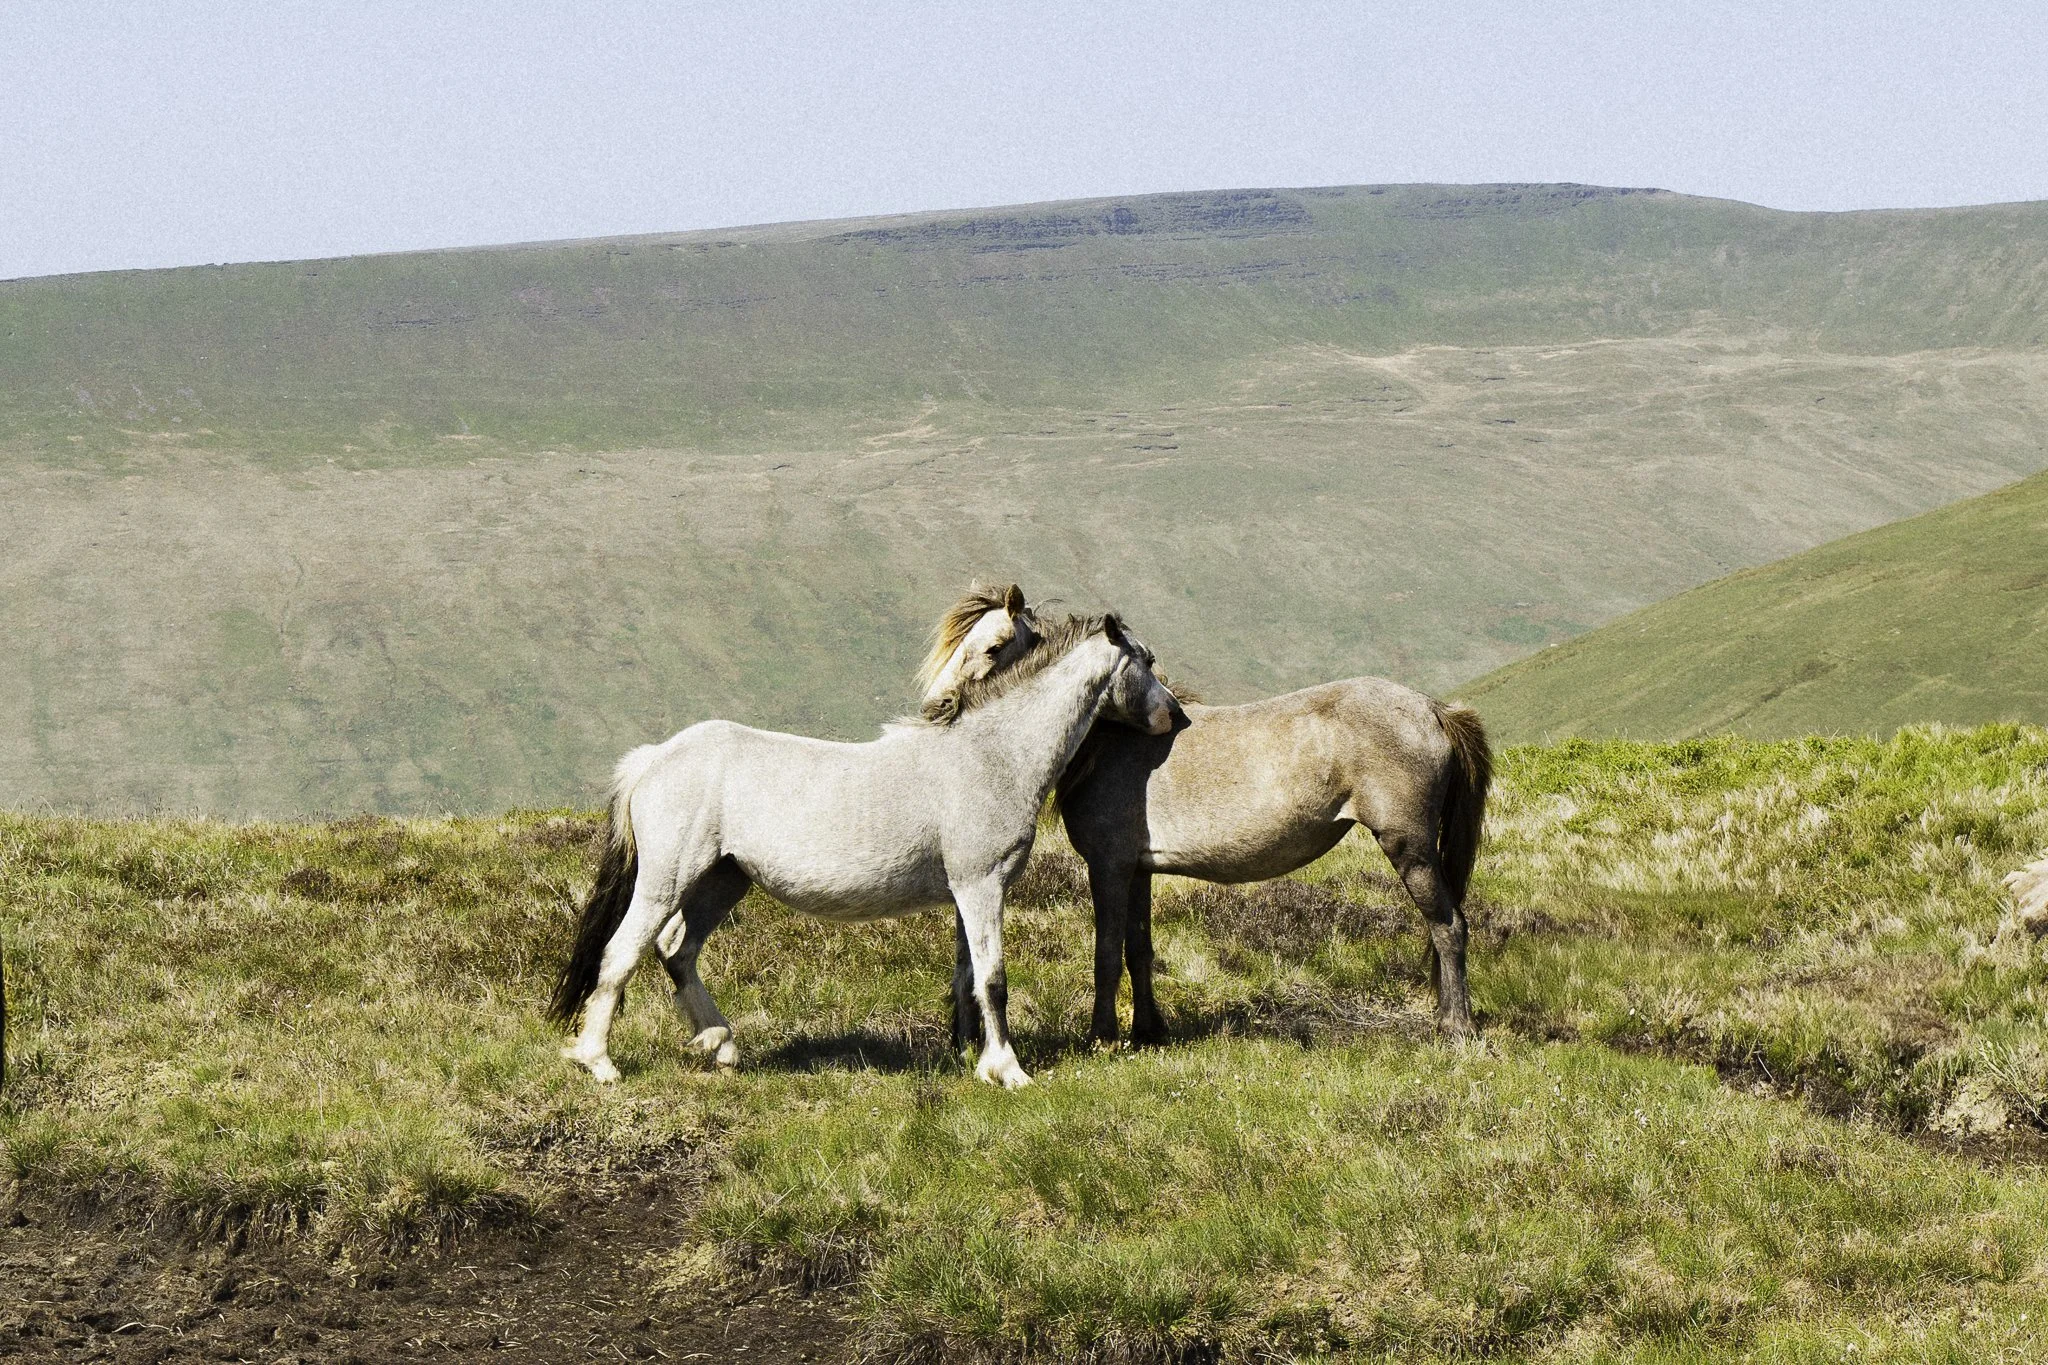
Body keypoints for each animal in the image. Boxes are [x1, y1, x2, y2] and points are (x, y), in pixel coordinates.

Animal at [548, 611, 1183, 1089]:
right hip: (667, 880)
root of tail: (654, 757)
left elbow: (968, 978)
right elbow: (994, 980)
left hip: (724, 879)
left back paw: (721, 1045)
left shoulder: (967, 892)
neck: (992, 754)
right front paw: (1009, 1071)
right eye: (1146, 660)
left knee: (677, 950)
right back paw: (598, 1062)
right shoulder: (982, 886)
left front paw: (972, 1059)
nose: (1176, 716)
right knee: (622, 952)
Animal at [925, 591, 1492, 1044]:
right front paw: (1148, 1031)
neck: (1111, 738)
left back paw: (1456, 1028)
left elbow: (1106, 952)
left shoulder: (1107, 866)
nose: (937, 706)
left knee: (1448, 927)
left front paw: (1102, 1035)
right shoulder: (1137, 869)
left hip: (1411, 849)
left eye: (993, 646)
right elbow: (1138, 949)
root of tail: (1435, 709)